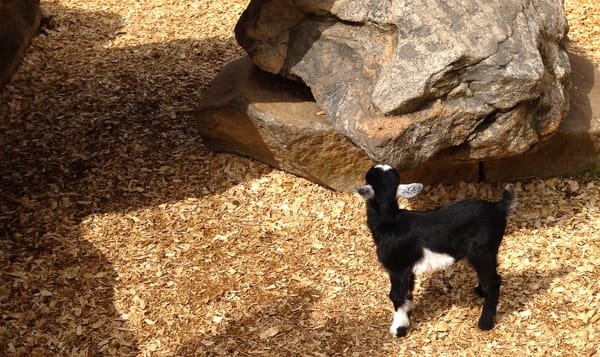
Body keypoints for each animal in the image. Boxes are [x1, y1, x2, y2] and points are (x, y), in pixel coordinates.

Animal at [356, 164, 516, 336]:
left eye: (369, 176)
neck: (390, 220)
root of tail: (499, 207)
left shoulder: (397, 267)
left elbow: (396, 295)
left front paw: (399, 329)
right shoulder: (407, 267)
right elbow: (408, 290)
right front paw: (408, 312)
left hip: (481, 251)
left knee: (494, 281)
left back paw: (485, 323)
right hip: (490, 249)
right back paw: (480, 292)